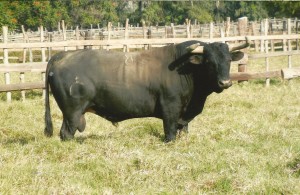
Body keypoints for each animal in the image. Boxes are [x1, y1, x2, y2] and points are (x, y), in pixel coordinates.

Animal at [44, 39, 250, 142]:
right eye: (209, 61)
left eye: (228, 60)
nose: (225, 82)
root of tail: (62, 55)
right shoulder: (170, 108)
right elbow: (170, 133)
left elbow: (184, 130)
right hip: (72, 112)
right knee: (66, 133)